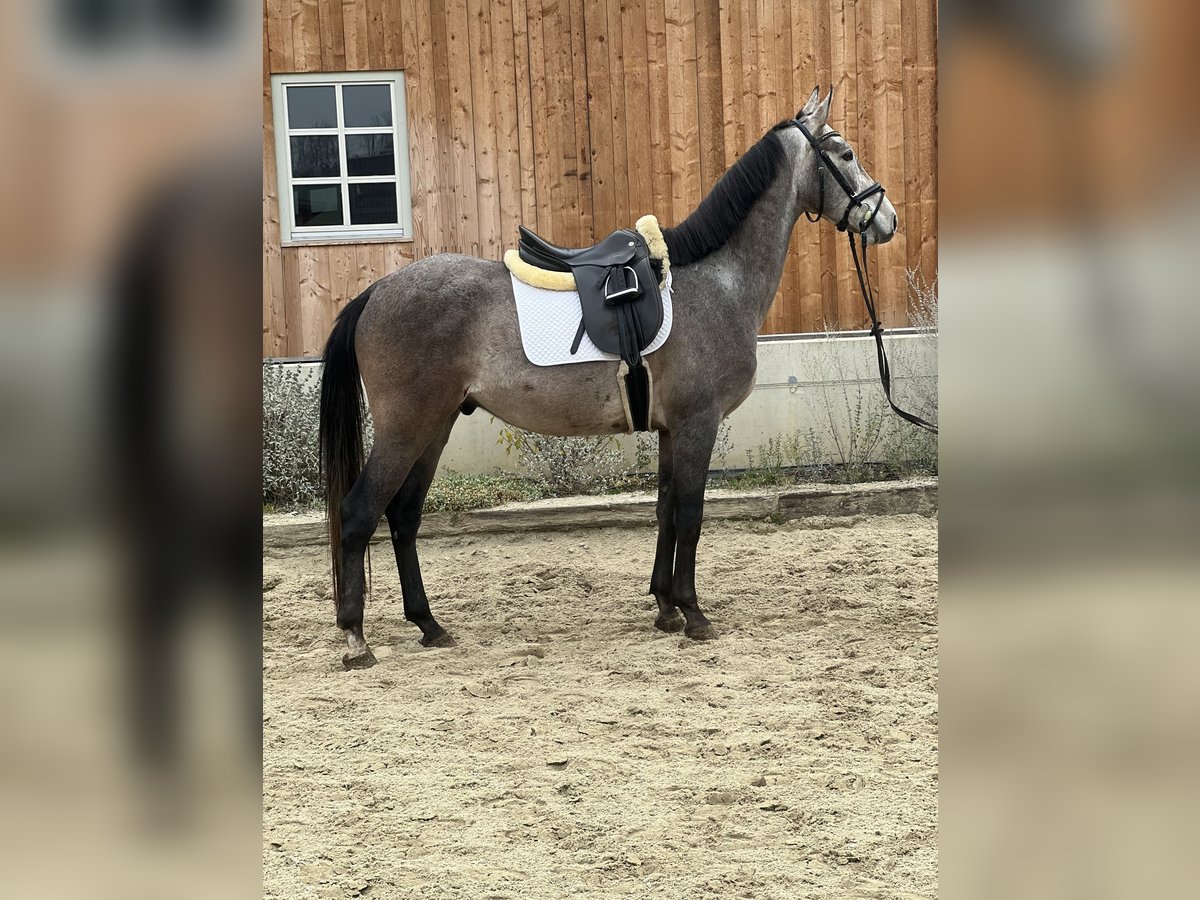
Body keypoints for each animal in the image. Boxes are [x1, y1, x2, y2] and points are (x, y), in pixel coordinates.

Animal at [314, 88, 897, 672]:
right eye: (846, 153)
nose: (886, 218)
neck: (716, 281)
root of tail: (377, 291)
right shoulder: (697, 423)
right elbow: (690, 513)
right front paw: (694, 614)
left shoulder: (671, 430)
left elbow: (665, 510)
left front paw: (665, 607)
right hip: (407, 427)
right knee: (359, 513)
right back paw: (356, 638)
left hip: (434, 426)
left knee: (404, 516)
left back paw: (429, 625)